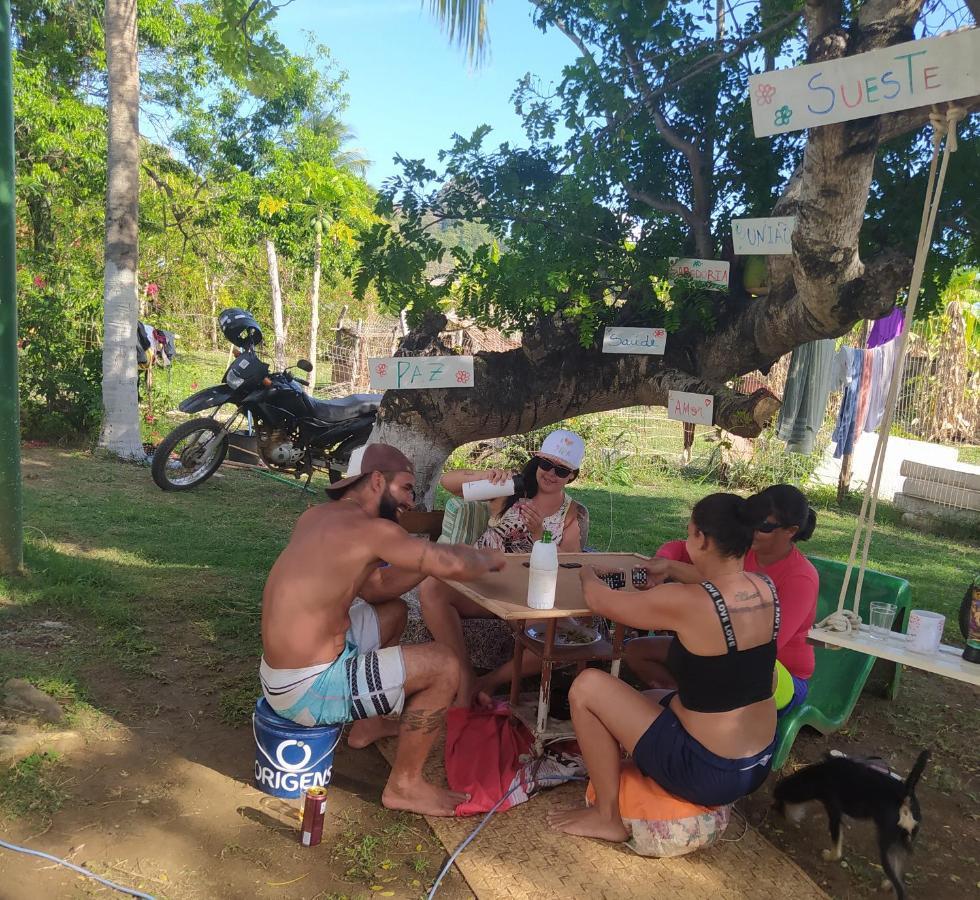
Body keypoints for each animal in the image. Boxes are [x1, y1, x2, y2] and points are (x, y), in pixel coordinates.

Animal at [772, 748, 928, 896]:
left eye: (779, 802)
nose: (774, 810)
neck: (819, 776)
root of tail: (905, 796)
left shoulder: (834, 813)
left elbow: (836, 840)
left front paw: (831, 856)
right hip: (897, 843)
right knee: (898, 873)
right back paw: (887, 883)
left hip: (885, 846)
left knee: (900, 886)